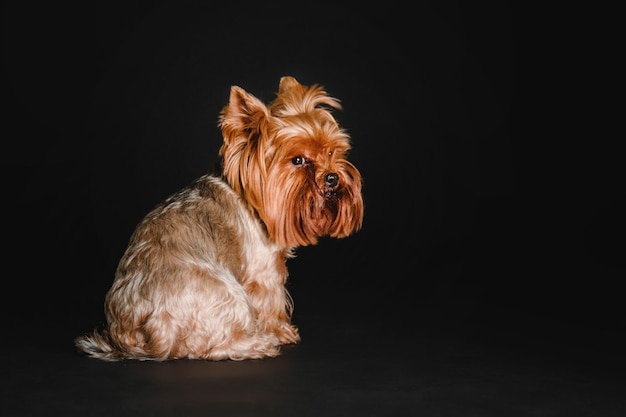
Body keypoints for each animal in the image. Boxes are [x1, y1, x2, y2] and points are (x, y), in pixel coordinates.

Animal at [75, 76, 364, 360]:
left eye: (331, 152)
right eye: (298, 160)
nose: (332, 177)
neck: (252, 200)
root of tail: (138, 337)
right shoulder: (265, 271)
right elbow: (270, 302)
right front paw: (281, 331)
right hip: (227, 293)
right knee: (209, 348)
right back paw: (258, 344)